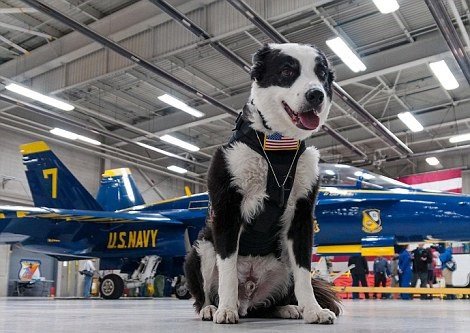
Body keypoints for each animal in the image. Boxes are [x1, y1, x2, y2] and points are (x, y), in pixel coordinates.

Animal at [185, 42, 342, 322]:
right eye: (287, 71)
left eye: (321, 73)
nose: (316, 95)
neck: (279, 147)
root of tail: (248, 294)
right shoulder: (227, 212)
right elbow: (227, 269)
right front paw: (226, 309)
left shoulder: (302, 218)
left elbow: (304, 273)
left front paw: (313, 309)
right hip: (201, 248)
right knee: (205, 291)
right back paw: (212, 308)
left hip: (281, 259)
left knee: (270, 301)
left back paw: (287, 307)